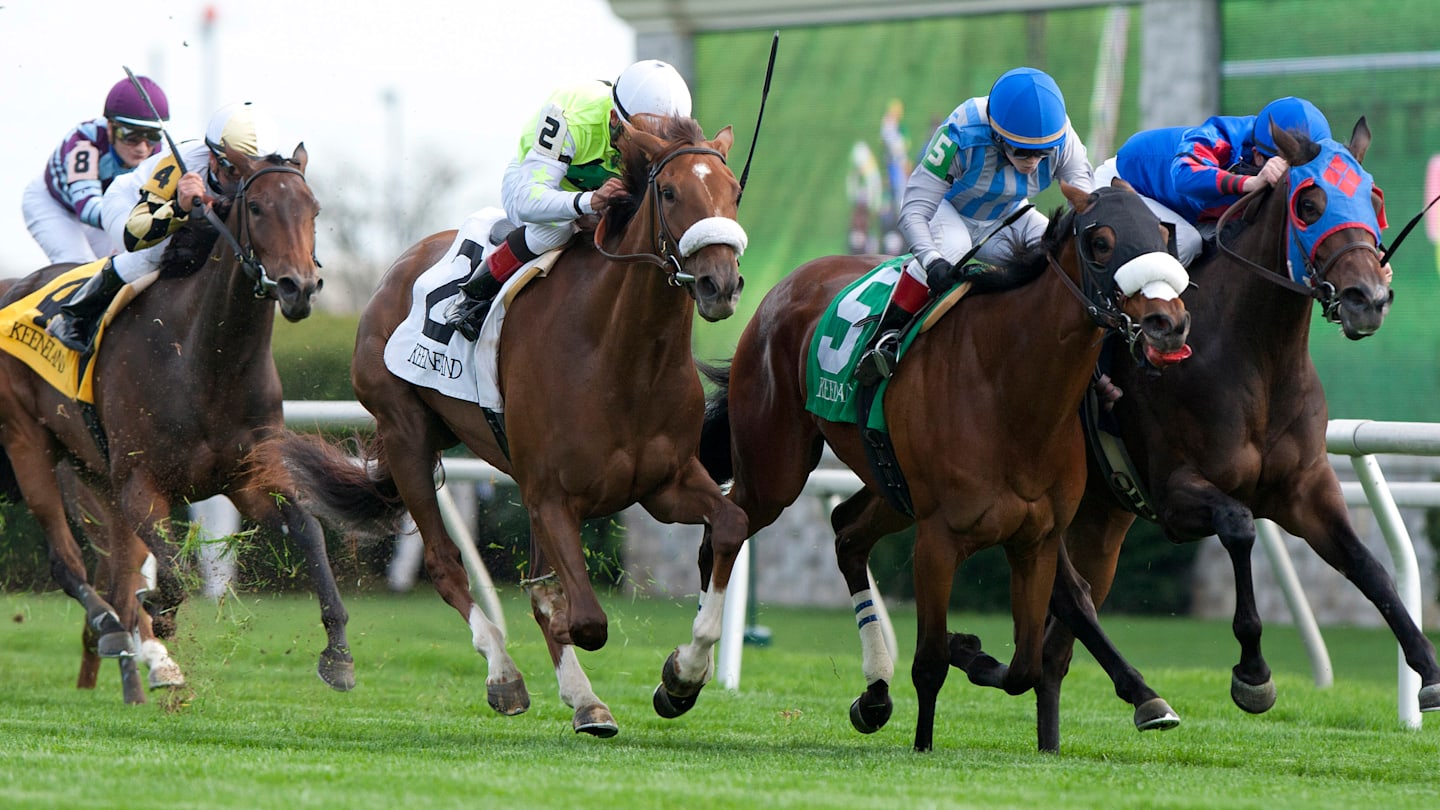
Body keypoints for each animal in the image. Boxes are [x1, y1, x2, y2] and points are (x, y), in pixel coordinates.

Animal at [0, 144, 352, 703]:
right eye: (257, 209)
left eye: (313, 209)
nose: (299, 287)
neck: (205, 364)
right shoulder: (141, 483)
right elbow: (175, 572)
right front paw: (161, 616)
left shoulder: (247, 479)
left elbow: (310, 531)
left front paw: (338, 654)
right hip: (29, 445)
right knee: (67, 561)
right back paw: (112, 629)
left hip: (93, 474)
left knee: (116, 570)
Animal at [272, 114, 749, 737]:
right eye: (669, 192)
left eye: (733, 192)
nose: (721, 284)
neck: (622, 356)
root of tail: (398, 267)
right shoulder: (551, 495)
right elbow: (582, 617)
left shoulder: (664, 485)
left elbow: (731, 525)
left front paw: (682, 676)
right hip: (406, 435)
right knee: (446, 563)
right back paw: (505, 674)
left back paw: (585, 698)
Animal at [694, 182, 1193, 751]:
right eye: (1102, 242)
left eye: (1162, 234)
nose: (1169, 324)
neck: (1010, 389)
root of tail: (784, 287)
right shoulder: (938, 539)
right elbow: (931, 660)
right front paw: (924, 740)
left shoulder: (1036, 539)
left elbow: (1026, 663)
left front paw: (971, 652)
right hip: (774, 470)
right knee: (724, 533)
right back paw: (683, 676)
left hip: (889, 484)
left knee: (846, 532)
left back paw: (874, 694)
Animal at [1026, 119, 1440, 752]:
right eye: (1309, 204)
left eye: (1373, 199)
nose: (1368, 299)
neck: (1256, 357)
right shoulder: (1176, 494)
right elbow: (1240, 526)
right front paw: (1253, 673)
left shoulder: (1305, 489)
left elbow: (1369, 567)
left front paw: (1429, 671)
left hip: (1099, 520)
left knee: (1059, 638)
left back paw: (1056, 738)